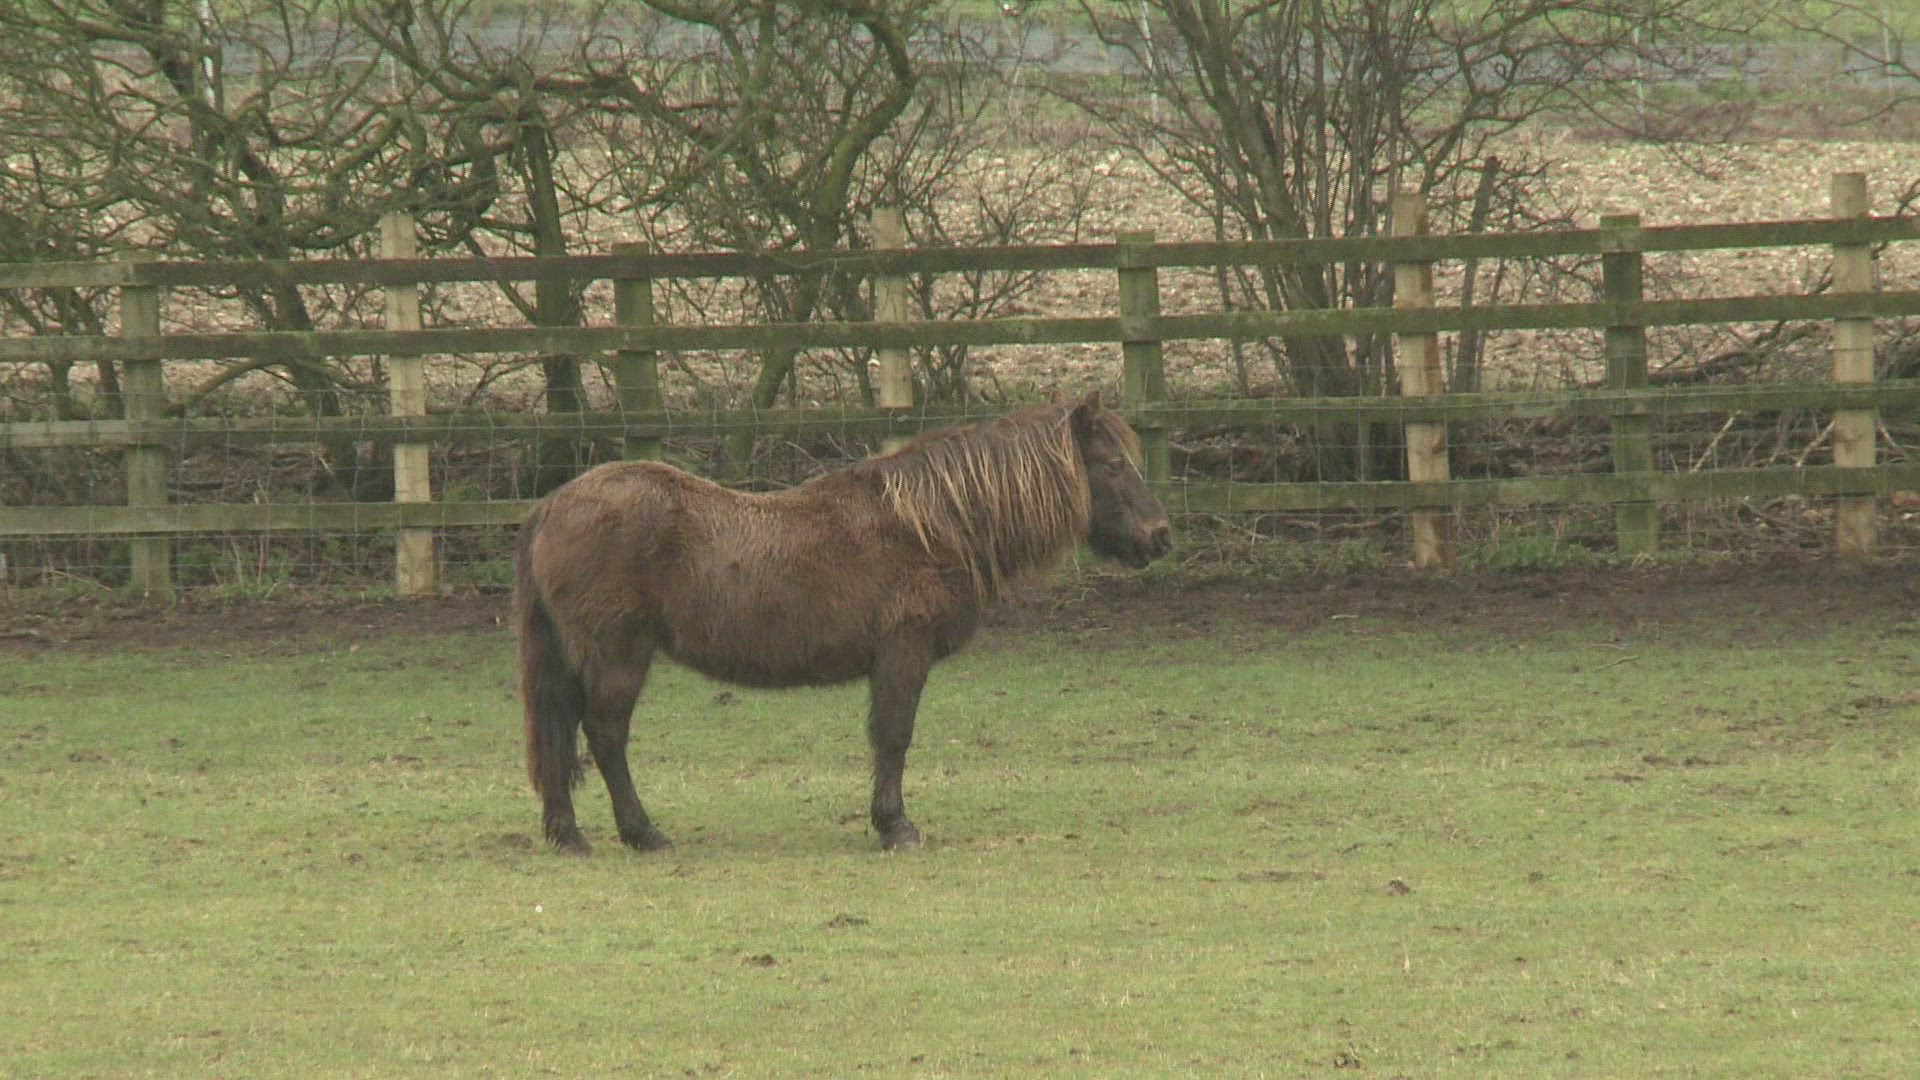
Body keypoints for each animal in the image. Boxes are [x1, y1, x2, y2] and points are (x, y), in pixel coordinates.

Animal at [513, 390, 1173, 853]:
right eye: (1114, 464)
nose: (1160, 537)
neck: (931, 523)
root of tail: (552, 504)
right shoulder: (903, 652)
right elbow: (894, 737)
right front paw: (896, 827)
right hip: (619, 654)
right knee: (603, 734)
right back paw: (640, 833)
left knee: (561, 731)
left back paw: (567, 833)